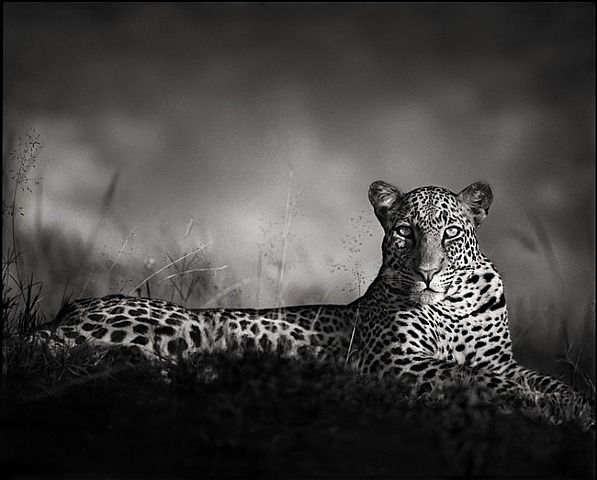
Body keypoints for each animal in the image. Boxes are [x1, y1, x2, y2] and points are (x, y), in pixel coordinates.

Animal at [36, 179, 592, 424]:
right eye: (406, 233)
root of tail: (69, 309)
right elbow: (470, 376)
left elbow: (537, 377)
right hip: (175, 327)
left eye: (451, 233)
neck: (452, 306)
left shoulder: (503, 359)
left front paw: (574, 403)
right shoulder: (397, 361)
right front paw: (539, 405)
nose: (428, 273)